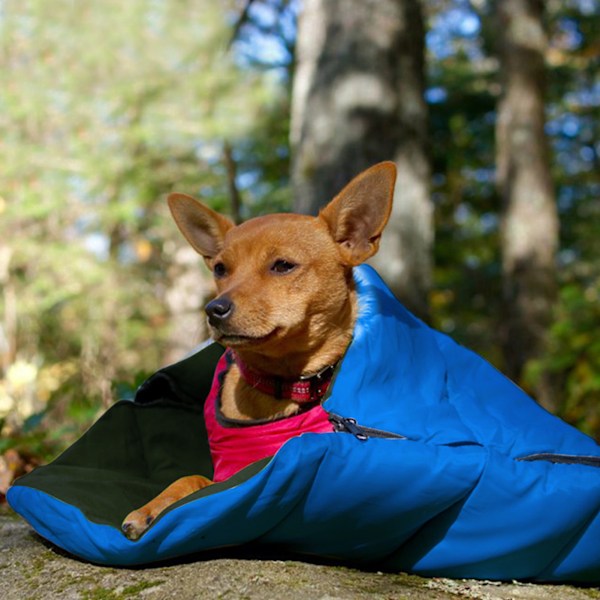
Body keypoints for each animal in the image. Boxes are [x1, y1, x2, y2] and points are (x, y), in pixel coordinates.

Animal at [119, 162, 396, 540]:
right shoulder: (226, 472)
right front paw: (151, 507)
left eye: (283, 265)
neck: (281, 385)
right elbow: (190, 478)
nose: (213, 309)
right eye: (220, 269)